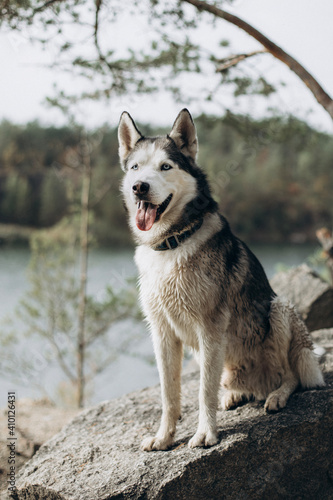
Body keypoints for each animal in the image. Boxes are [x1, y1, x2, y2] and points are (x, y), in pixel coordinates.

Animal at [117, 108, 324, 450]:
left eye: (165, 166)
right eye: (135, 168)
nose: (139, 187)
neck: (172, 242)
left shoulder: (210, 329)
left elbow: (203, 393)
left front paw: (205, 434)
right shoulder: (162, 333)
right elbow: (169, 395)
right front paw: (164, 437)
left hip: (279, 309)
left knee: (289, 375)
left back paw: (277, 396)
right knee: (233, 384)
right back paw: (235, 394)